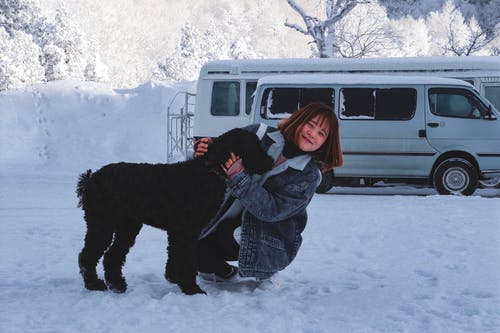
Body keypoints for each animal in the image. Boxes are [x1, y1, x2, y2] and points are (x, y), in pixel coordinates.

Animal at [76, 127, 276, 294]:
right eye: (255, 146)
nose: (271, 161)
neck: (208, 170)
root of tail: (91, 179)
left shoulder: (178, 231)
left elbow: (174, 254)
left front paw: (173, 277)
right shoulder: (186, 231)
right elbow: (186, 258)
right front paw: (192, 289)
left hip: (127, 226)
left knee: (112, 255)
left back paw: (117, 284)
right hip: (102, 223)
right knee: (88, 255)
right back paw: (94, 284)